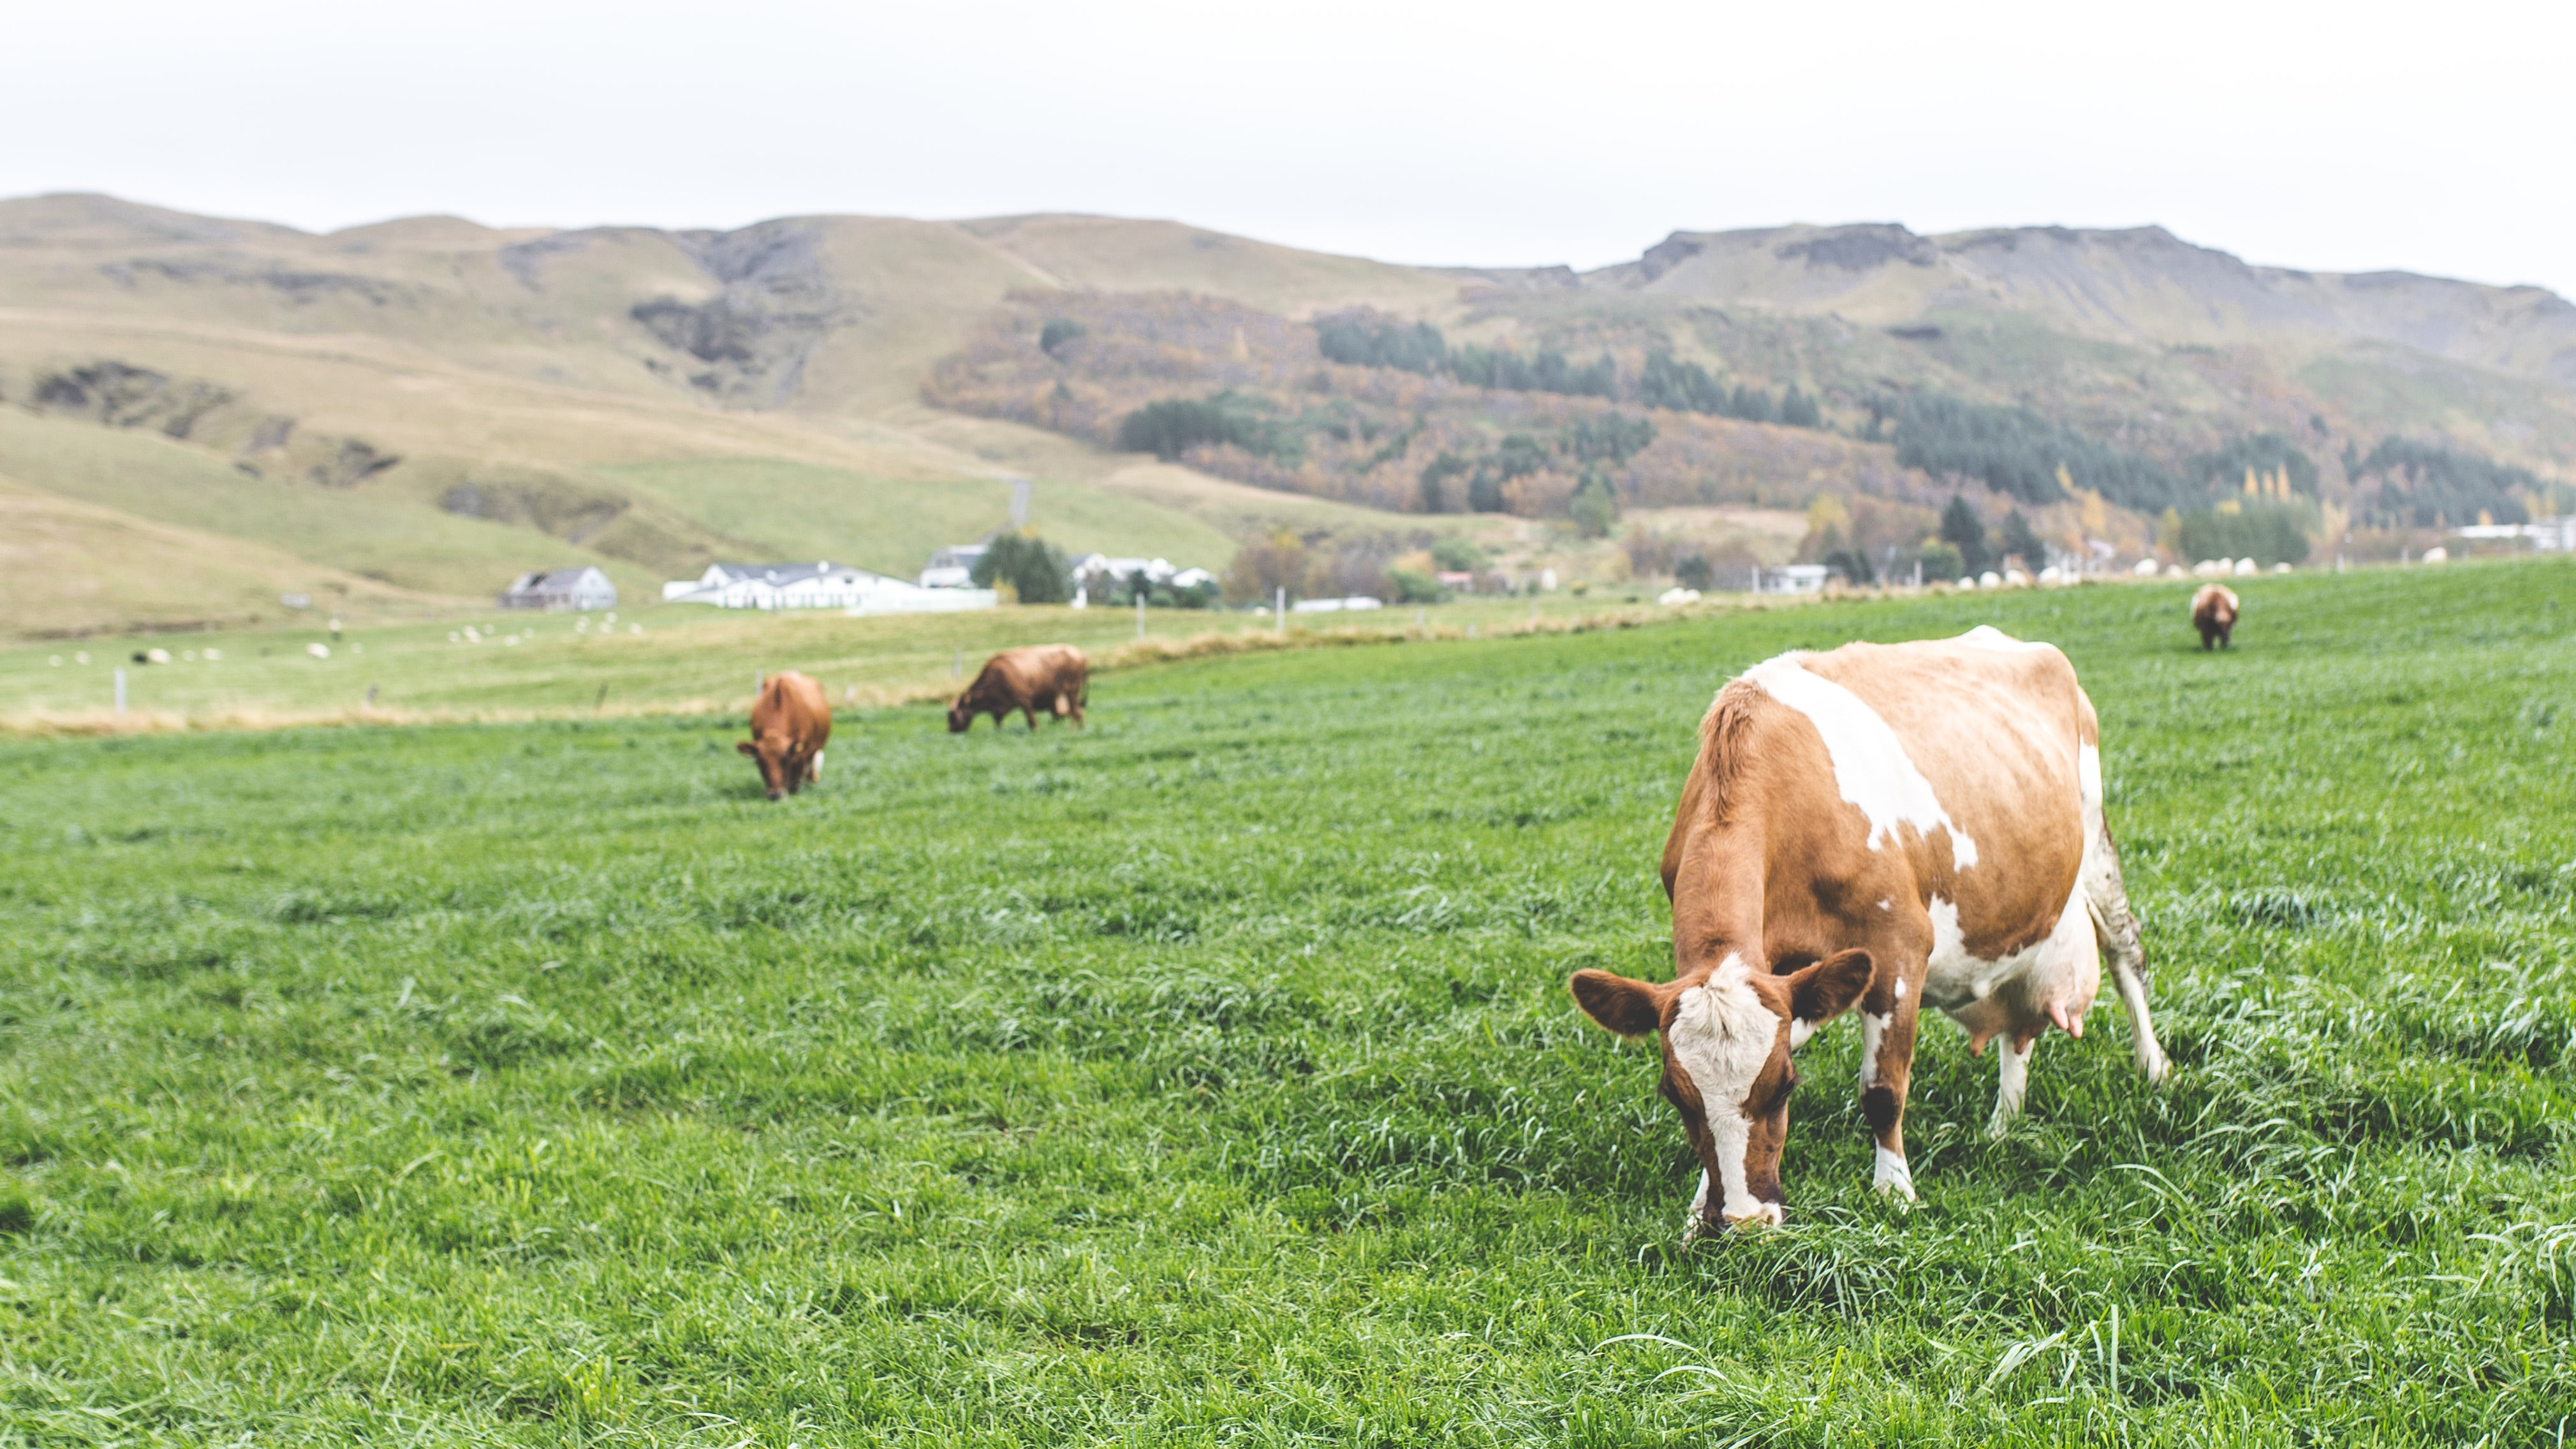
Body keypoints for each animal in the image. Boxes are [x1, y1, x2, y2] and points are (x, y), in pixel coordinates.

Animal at [949, 646, 1088, 733]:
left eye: (953, 716)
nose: (951, 731)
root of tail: (1080, 654)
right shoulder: (999, 710)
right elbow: (998, 724)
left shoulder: (1025, 701)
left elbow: (1032, 722)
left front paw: (1037, 733)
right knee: (1079, 711)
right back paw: (1081, 729)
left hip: (1071, 691)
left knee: (1076, 711)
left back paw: (1072, 730)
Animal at [1568, 627, 2169, 1238]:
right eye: (1674, 1095)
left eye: (1785, 1085)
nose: (1744, 1221)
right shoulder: (1792, 981)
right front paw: (1697, 1211)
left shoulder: (1898, 947)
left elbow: (1882, 1089)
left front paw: (1894, 1192)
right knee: (2018, 1029)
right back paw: (2002, 1126)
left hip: (2094, 836)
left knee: (2124, 951)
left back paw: (2151, 1068)